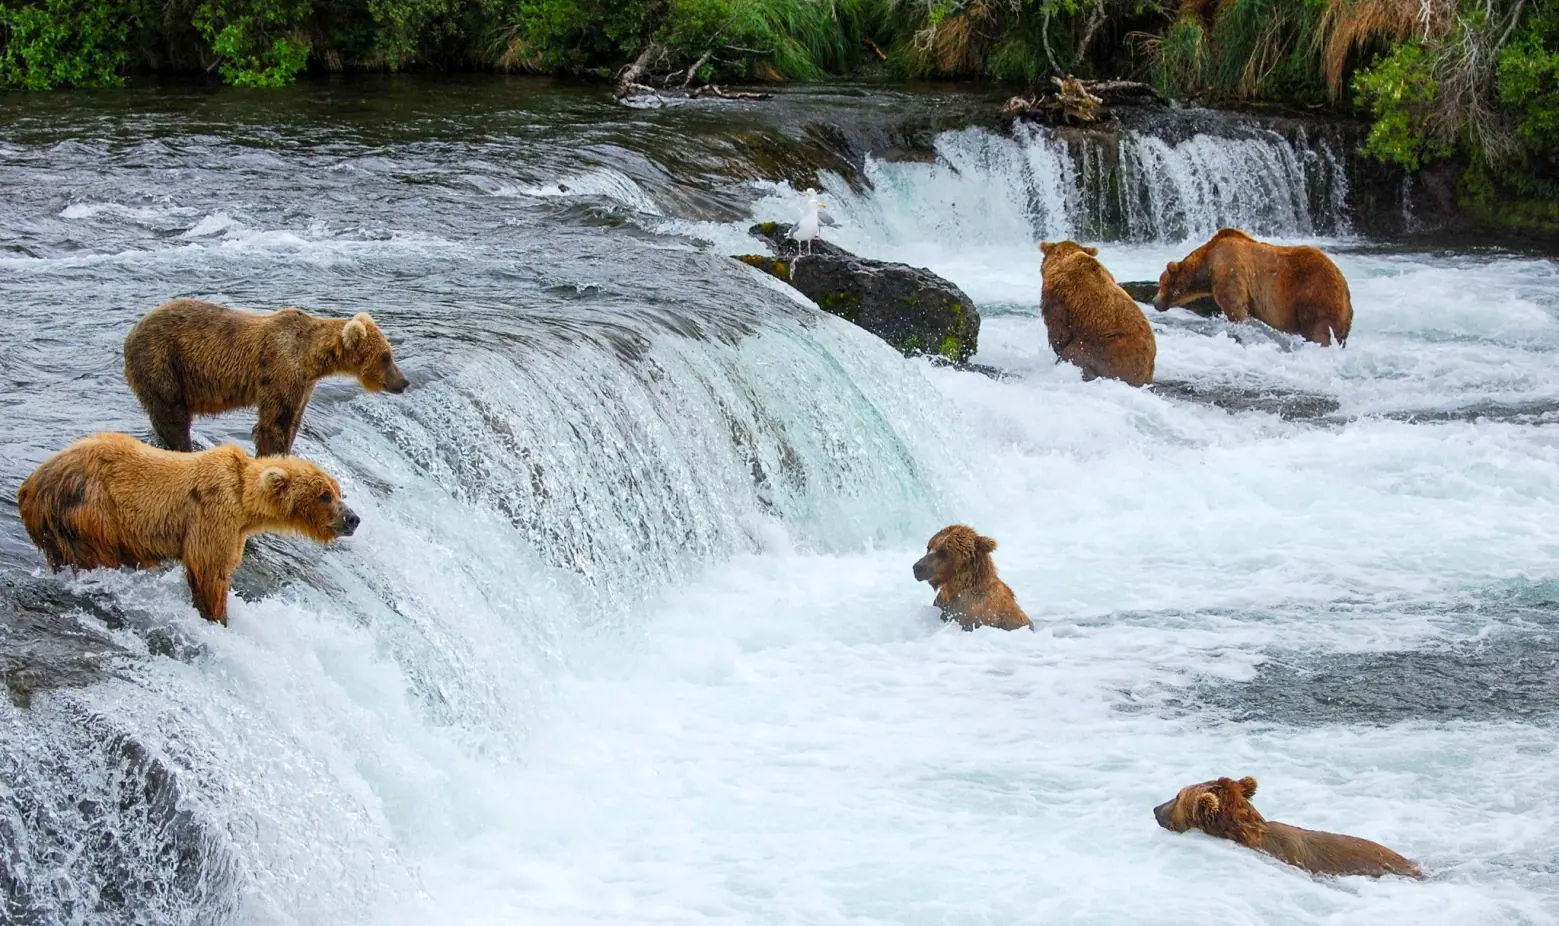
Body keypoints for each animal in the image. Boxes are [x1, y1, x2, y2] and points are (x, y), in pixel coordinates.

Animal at [17, 432, 359, 625]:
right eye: (324, 495)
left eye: (337, 490)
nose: (353, 518)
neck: (245, 505)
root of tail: (29, 487)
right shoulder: (212, 516)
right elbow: (209, 571)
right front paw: (217, 617)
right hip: (90, 512)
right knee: (95, 554)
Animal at [123, 299, 408, 457]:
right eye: (386, 356)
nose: (403, 382)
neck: (310, 357)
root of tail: (132, 331)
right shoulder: (280, 371)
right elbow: (275, 423)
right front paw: (273, 454)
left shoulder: (303, 385)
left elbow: (293, 422)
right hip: (162, 362)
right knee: (171, 414)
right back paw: (183, 447)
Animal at [1152, 228, 1353, 346]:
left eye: (1162, 284)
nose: (1155, 302)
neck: (1207, 266)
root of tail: (1344, 286)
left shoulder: (1229, 270)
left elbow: (1234, 307)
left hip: (1315, 295)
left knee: (1318, 330)